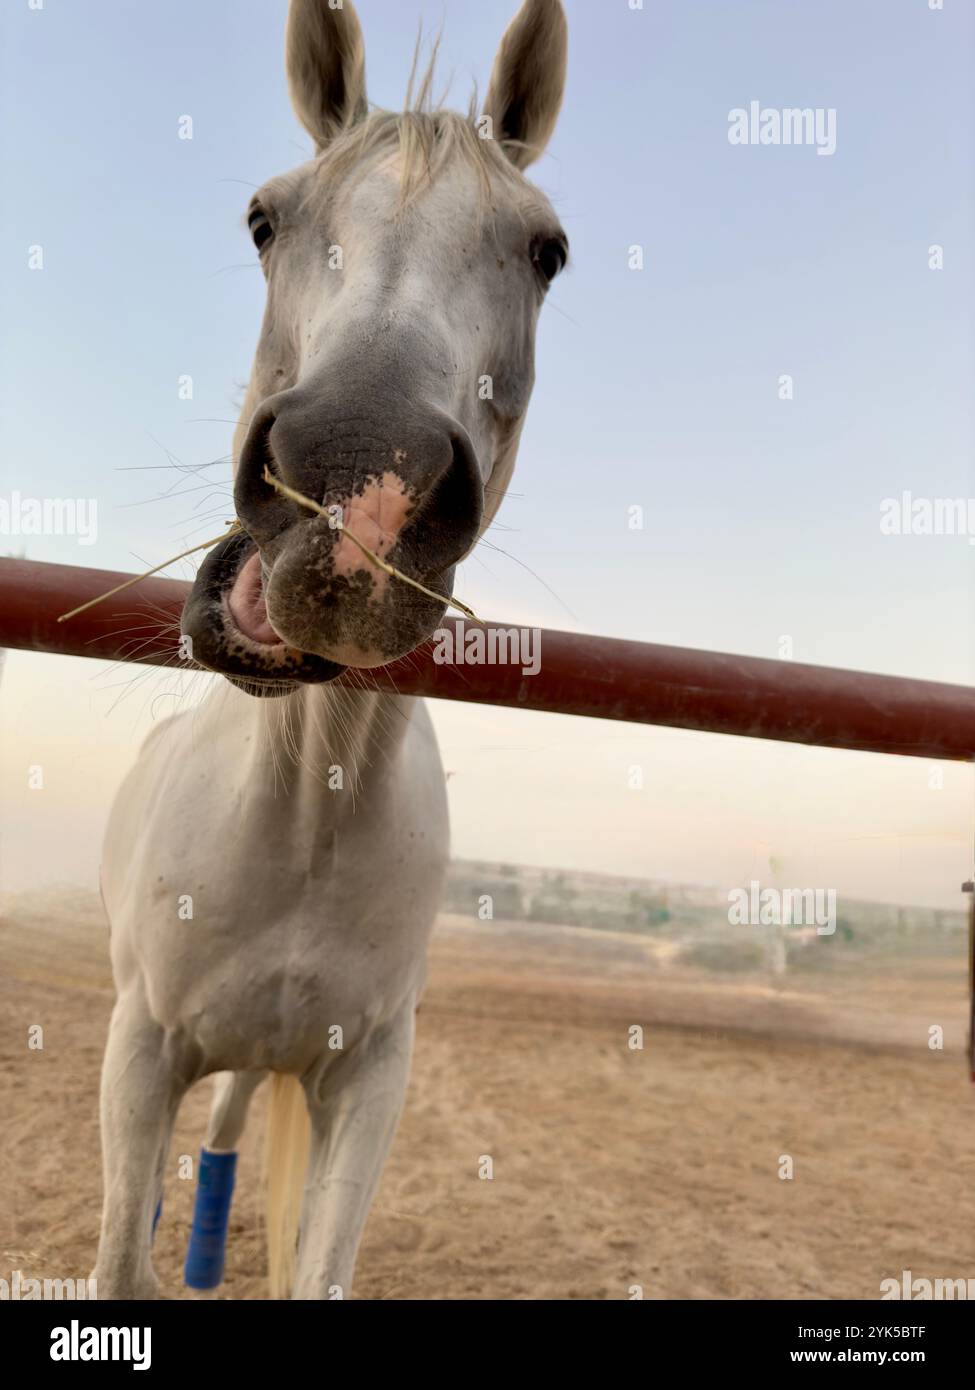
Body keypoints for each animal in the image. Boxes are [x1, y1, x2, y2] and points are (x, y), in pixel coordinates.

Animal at [93, 0, 569, 1300]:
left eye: (546, 251)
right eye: (266, 219)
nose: (357, 481)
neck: (305, 805)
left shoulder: (367, 1078)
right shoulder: (139, 1046)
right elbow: (115, 1260)